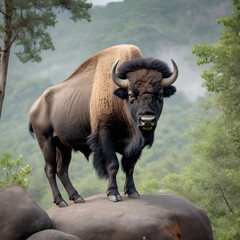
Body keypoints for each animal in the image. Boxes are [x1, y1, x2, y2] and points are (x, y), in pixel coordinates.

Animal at [28, 45, 178, 206]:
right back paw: (61, 201)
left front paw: (132, 192)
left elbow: (130, 167)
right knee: (50, 169)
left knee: (62, 170)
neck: (119, 99)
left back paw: (77, 197)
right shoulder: (105, 135)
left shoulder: (136, 145)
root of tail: (35, 106)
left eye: (160, 94)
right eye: (131, 94)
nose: (147, 120)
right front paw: (113, 194)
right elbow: (112, 165)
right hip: (46, 141)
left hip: (63, 145)